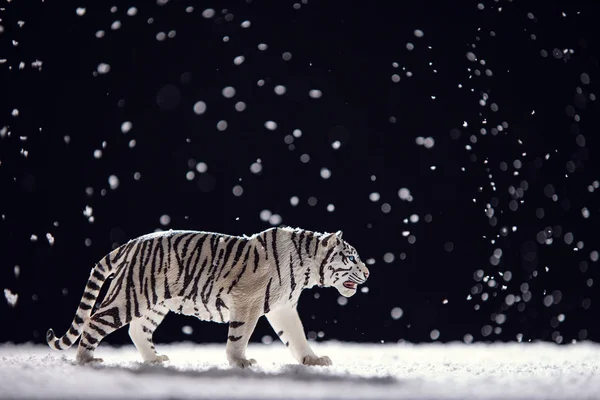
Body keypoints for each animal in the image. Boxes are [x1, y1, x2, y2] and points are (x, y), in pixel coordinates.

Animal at [48, 227, 370, 368]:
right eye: (352, 257)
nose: (368, 273)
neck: (306, 270)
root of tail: (131, 243)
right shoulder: (247, 302)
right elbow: (239, 337)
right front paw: (240, 362)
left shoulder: (283, 308)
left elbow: (297, 337)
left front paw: (312, 360)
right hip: (130, 296)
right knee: (94, 321)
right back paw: (87, 360)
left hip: (154, 303)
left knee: (137, 330)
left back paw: (154, 359)